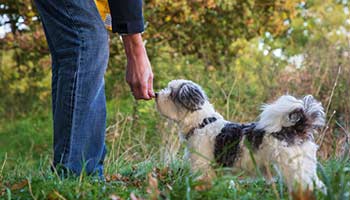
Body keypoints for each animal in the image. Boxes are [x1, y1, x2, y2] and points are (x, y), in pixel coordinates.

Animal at [155, 79, 326, 192]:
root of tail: (296, 128)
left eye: (171, 93)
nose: (156, 94)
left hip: (294, 167)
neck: (202, 123)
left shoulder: (202, 166)